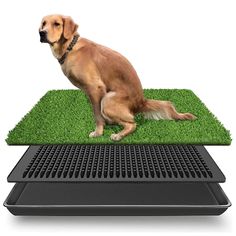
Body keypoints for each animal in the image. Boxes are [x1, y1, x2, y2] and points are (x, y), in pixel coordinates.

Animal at [39, 15, 196, 141]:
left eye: (57, 24)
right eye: (43, 23)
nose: (41, 33)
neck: (70, 48)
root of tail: (141, 101)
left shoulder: (96, 88)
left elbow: (97, 115)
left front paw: (98, 132)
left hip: (108, 100)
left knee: (132, 123)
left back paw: (118, 135)